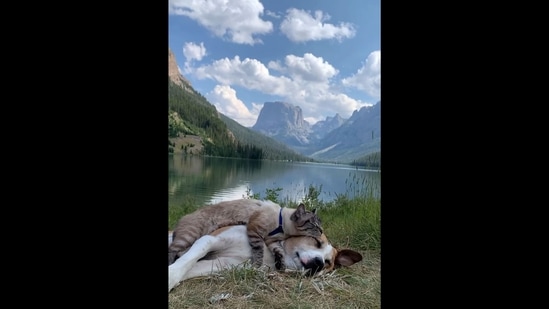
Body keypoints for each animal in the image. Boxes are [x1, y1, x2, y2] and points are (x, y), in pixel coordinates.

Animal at [167, 197, 322, 270]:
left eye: (320, 223)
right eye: (313, 224)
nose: (321, 231)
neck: (282, 229)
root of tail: (184, 216)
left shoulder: (271, 241)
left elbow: (279, 252)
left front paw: (281, 265)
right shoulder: (255, 231)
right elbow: (259, 252)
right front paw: (258, 266)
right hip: (189, 236)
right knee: (172, 250)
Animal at [167, 224, 364, 292]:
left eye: (328, 263)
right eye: (316, 242)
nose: (318, 263)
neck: (270, 254)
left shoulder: (223, 264)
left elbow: (191, 268)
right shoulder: (210, 239)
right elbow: (188, 259)